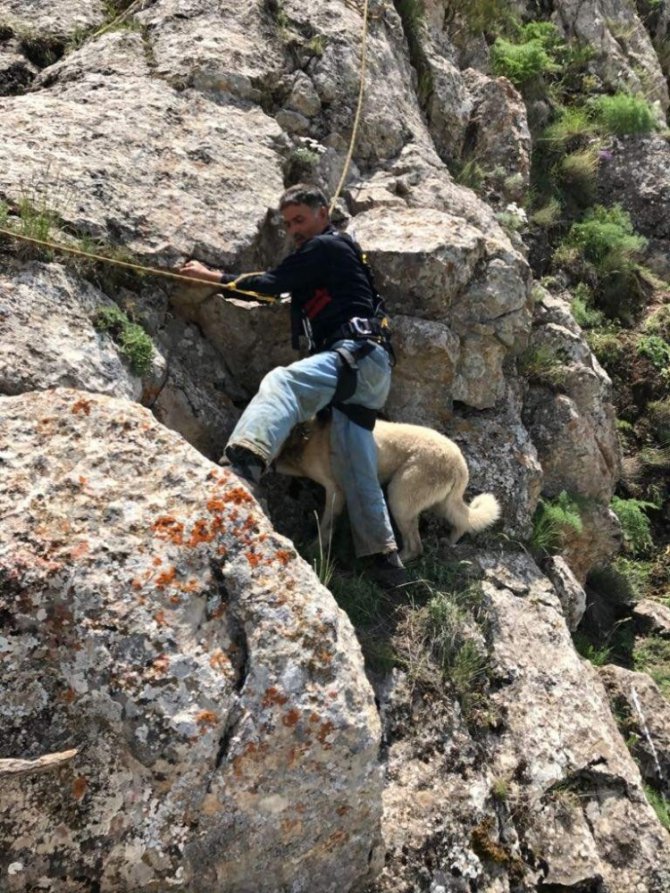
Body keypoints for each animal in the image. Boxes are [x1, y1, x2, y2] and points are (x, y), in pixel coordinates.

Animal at [276, 416, 502, 556]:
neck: (307, 437)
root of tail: (459, 464)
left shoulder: (335, 492)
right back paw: (450, 541)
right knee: (462, 522)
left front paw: (315, 550)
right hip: (440, 504)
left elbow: (326, 527)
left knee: (415, 546)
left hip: (398, 498)